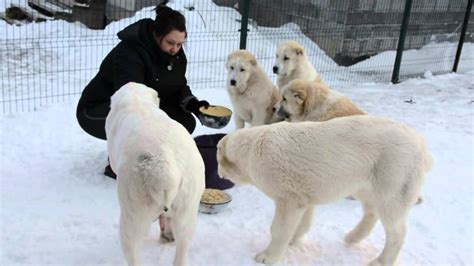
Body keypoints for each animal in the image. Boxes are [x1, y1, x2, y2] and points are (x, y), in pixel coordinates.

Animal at [105, 82, 206, 264]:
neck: (138, 102)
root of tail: (164, 169)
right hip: (189, 197)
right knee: (183, 242)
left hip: (134, 203)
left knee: (132, 246)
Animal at [218, 116, 434, 266]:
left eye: (219, 160)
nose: (219, 174)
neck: (253, 148)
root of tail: (423, 147)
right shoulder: (302, 191)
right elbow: (305, 213)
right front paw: (294, 239)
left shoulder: (286, 193)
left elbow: (280, 225)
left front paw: (267, 256)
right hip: (366, 178)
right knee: (371, 209)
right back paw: (352, 237)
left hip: (394, 171)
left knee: (394, 223)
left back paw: (381, 260)